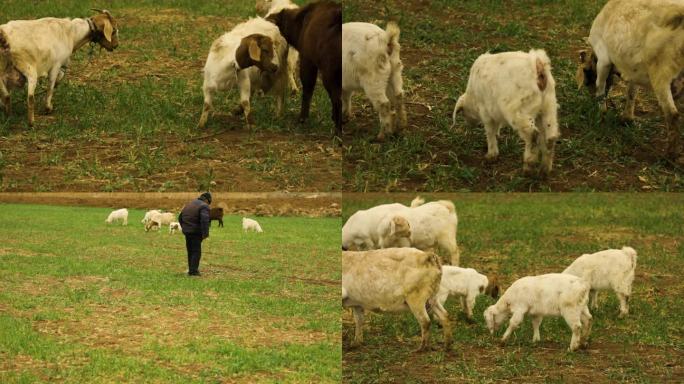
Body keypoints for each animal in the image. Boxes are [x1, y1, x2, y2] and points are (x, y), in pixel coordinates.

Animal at [268, 0, 342, 135]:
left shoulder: (308, 62)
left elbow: (307, 89)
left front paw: (302, 118)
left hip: (329, 75)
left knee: (336, 97)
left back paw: (337, 130)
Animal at [576, 0, 684, 159]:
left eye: (587, 80)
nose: (590, 99)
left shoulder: (603, 60)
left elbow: (600, 86)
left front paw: (601, 115)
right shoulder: (633, 69)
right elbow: (632, 92)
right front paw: (627, 118)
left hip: (660, 74)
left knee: (672, 115)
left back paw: (671, 154)